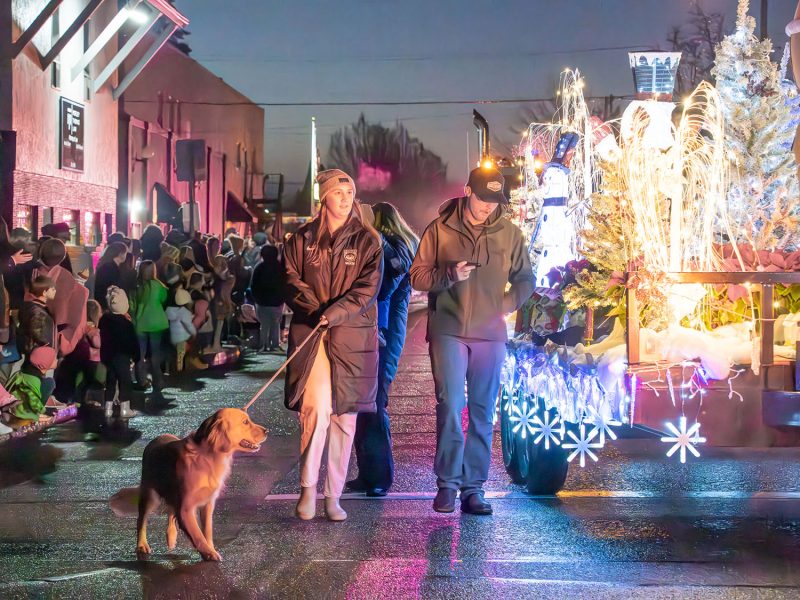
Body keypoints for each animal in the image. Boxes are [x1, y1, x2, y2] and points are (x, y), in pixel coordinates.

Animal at [110, 408, 267, 561]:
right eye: (245, 422)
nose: (267, 431)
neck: (209, 456)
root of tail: (155, 439)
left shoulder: (207, 504)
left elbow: (207, 531)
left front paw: (210, 548)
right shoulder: (186, 507)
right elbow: (197, 535)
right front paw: (210, 553)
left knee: (171, 513)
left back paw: (171, 536)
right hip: (151, 496)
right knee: (141, 520)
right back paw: (142, 545)